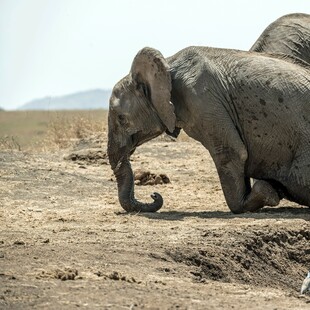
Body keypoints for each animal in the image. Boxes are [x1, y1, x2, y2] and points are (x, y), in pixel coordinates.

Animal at [107, 46, 310, 214]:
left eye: (121, 119)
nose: (154, 195)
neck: (168, 64)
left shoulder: (203, 100)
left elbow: (230, 153)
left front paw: (267, 193)